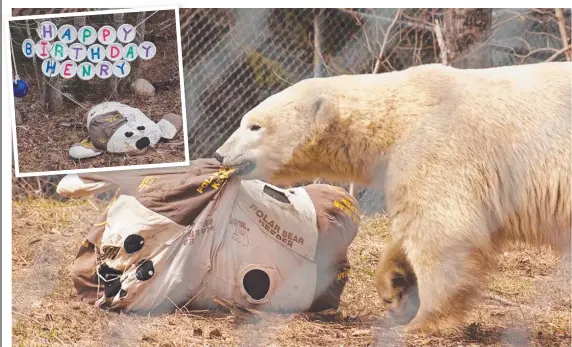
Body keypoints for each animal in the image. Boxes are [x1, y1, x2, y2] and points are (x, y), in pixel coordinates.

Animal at [216, 61, 572, 334]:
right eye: (245, 122)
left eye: (255, 126)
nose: (221, 154)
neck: (396, 112)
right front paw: (394, 286)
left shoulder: (438, 146)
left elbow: (442, 230)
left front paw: (424, 321)